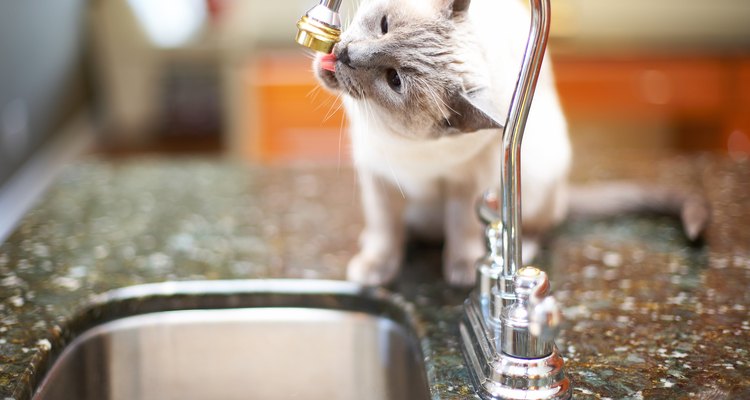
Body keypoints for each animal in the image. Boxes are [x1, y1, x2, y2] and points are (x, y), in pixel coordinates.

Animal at [310, 0, 704, 288]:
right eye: (384, 25)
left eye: (394, 80)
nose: (347, 55)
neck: (403, 148)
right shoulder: (377, 177)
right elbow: (385, 229)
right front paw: (374, 269)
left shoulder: (468, 183)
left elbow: (462, 228)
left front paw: (463, 272)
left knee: (536, 225)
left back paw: (520, 251)